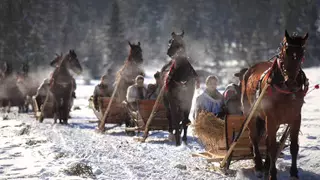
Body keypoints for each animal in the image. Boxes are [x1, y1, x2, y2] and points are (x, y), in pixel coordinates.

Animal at [242, 30, 308, 179]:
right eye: (286, 51)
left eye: (302, 52)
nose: (291, 81)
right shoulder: (271, 118)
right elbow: (272, 147)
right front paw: (272, 174)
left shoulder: (296, 118)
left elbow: (294, 146)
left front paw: (294, 172)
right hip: (251, 113)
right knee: (254, 138)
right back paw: (259, 166)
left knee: (266, 140)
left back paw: (266, 165)